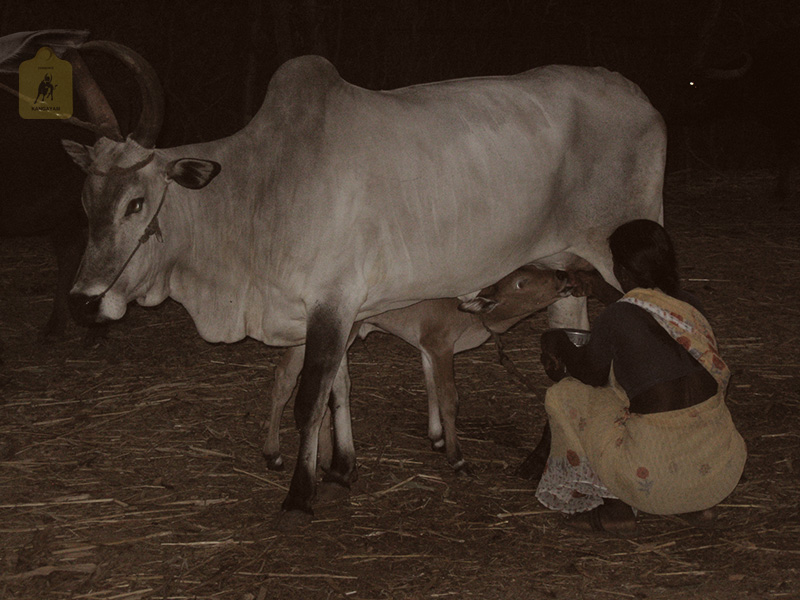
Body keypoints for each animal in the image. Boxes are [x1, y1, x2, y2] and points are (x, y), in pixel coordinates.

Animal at [264, 268, 576, 478]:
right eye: (521, 283)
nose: (562, 275)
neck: (468, 317)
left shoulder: (427, 347)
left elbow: (431, 387)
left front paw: (436, 437)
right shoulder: (440, 345)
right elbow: (449, 398)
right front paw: (457, 459)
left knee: (293, 380)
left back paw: (294, 456)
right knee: (304, 385)